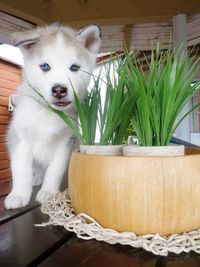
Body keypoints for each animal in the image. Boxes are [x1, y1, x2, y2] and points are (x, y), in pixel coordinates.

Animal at [4, 23, 101, 209]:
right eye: (45, 66)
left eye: (74, 67)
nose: (59, 90)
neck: (48, 112)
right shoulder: (20, 138)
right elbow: (21, 169)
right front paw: (18, 194)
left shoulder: (66, 142)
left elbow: (54, 170)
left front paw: (48, 193)